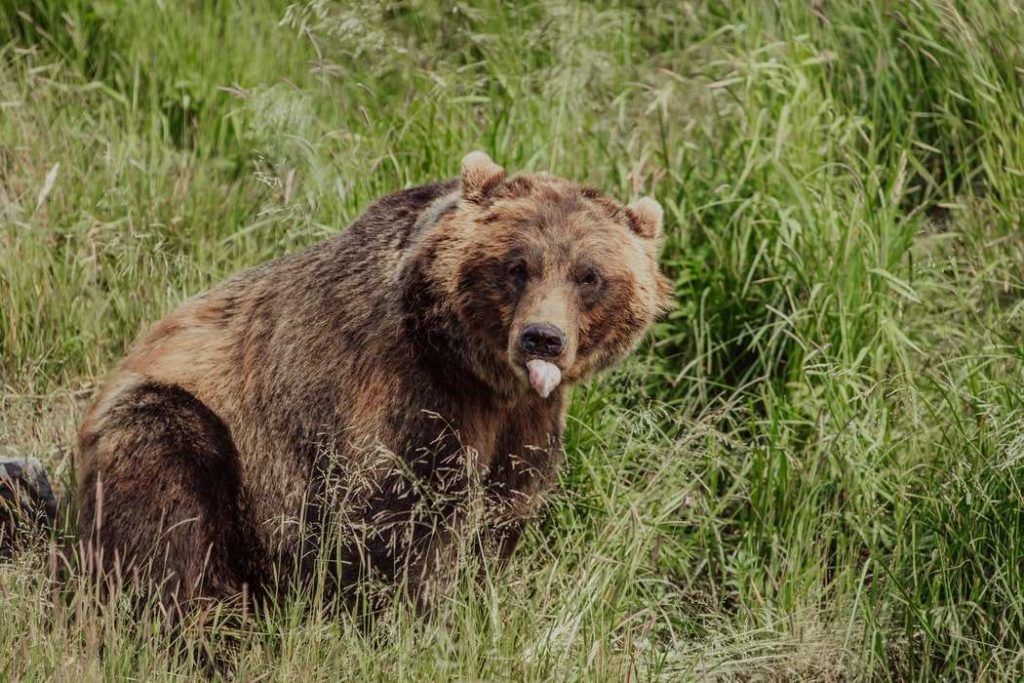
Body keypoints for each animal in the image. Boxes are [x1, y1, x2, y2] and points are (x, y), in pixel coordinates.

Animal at [74, 152, 671, 610]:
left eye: (588, 275)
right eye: (517, 265)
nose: (542, 338)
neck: (482, 377)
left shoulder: (526, 422)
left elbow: (503, 512)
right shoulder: (405, 396)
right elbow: (401, 522)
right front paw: (412, 616)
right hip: (198, 428)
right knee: (167, 503)